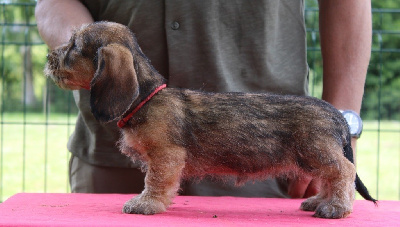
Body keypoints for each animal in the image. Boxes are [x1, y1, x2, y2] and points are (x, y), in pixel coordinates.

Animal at [45, 22, 376, 219]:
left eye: (74, 47)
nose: (49, 58)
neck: (147, 98)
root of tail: (335, 113)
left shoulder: (166, 157)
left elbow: (155, 181)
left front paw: (146, 204)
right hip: (314, 157)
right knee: (331, 177)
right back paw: (319, 201)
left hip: (316, 153)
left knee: (344, 172)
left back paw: (336, 206)